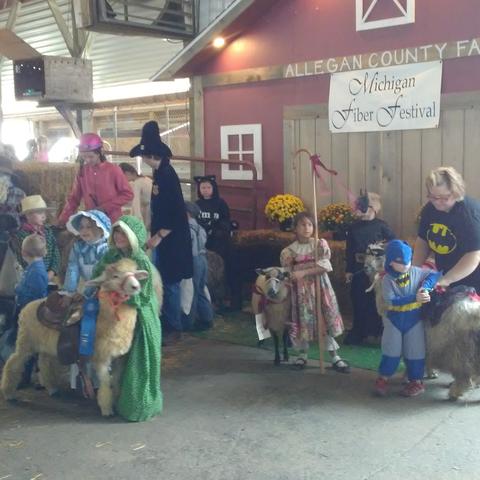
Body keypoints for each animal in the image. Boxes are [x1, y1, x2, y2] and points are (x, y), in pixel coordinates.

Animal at [0, 258, 148, 416]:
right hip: (25, 341)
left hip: (45, 345)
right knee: (13, 362)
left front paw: (116, 401)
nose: (136, 286)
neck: (103, 319)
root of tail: (28, 306)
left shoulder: (119, 358)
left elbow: (117, 381)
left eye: (134, 273)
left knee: (44, 363)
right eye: (115, 276)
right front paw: (107, 408)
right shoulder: (101, 358)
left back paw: (52, 388)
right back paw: (8, 392)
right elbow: (106, 382)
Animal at [366, 246, 480, 400]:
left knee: (463, 375)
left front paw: (408, 378)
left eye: (378, 256)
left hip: (461, 351)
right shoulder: (430, 341)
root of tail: (474, 312)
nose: (366, 267)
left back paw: (455, 392)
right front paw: (430, 373)